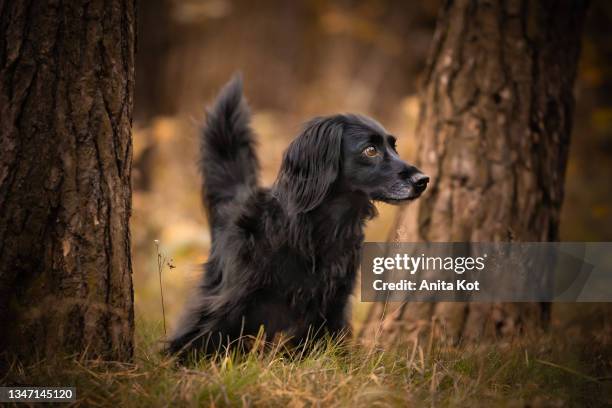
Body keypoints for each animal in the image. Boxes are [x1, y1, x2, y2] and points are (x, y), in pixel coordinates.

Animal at [165, 75, 428, 358]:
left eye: (394, 147)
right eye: (370, 150)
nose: (423, 180)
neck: (319, 228)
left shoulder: (334, 301)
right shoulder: (232, 297)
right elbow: (204, 331)